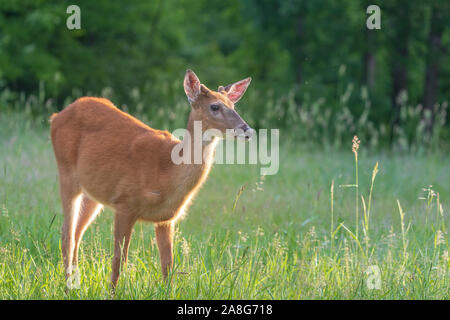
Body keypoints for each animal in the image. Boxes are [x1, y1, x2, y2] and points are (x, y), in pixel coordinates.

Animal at [50, 70, 253, 290]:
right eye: (215, 106)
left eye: (233, 105)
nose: (247, 129)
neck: (168, 172)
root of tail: (55, 117)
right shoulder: (125, 203)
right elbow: (119, 260)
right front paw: (113, 292)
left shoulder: (166, 219)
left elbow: (168, 266)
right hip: (66, 174)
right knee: (67, 234)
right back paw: (69, 287)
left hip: (93, 192)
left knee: (77, 232)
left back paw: (76, 283)